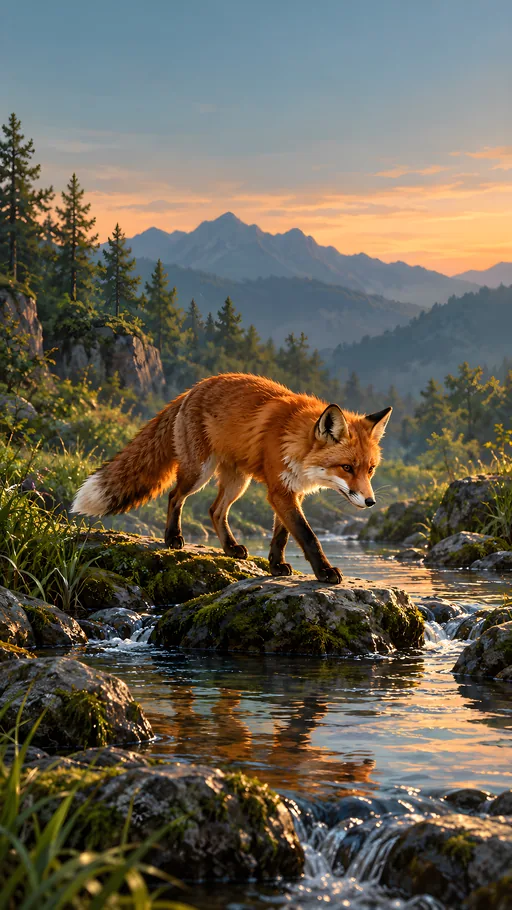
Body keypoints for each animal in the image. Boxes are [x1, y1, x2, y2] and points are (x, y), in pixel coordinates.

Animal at [72, 373, 392, 584]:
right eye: (347, 467)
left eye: (370, 469)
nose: (370, 502)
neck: (295, 441)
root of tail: (191, 390)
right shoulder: (280, 491)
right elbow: (308, 536)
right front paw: (325, 571)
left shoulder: (292, 491)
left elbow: (281, 536)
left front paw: (276, 565)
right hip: (198, 472)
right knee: (175, 496)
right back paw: (173, 538)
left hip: (238, 481)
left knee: (215, 511)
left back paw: (230, 548)